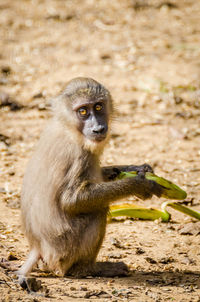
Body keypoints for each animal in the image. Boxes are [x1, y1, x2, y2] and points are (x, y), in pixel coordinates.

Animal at [18, 77, 163, 286]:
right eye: (83, 111)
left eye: (99, 106)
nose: (98, 128)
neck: (68, 126)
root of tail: (37, 248)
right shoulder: (79, 154)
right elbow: (71, 201)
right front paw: (140, 185)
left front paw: (136, 169)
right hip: (64, 253)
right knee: (98, 210)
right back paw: (86, 269)